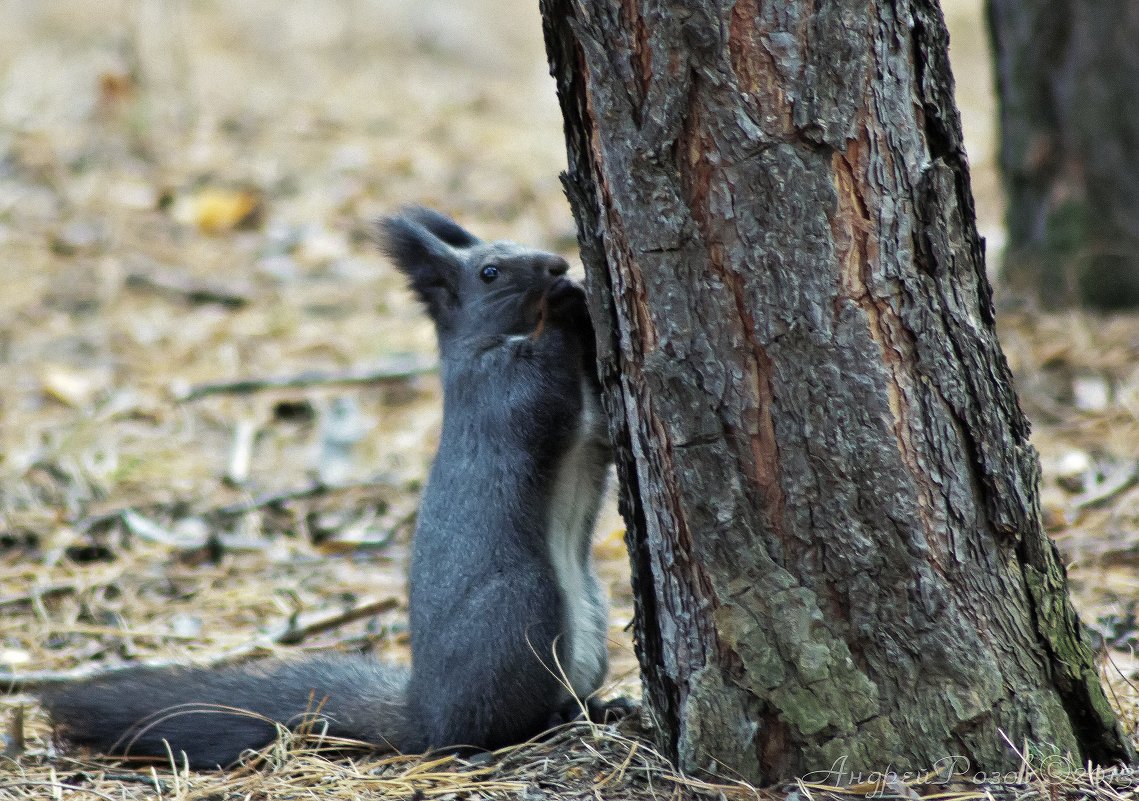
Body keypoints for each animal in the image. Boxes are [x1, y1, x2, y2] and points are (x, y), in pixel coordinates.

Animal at [40, 208, 619, 770]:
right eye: (490, 273)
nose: (554, 265)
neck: (489, 342)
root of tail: (425, 713)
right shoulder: (500, 393)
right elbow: (544, 402)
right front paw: (568, 304)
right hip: (521, 610)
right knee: (489, 727)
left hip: (591, 611)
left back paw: (598, 706)